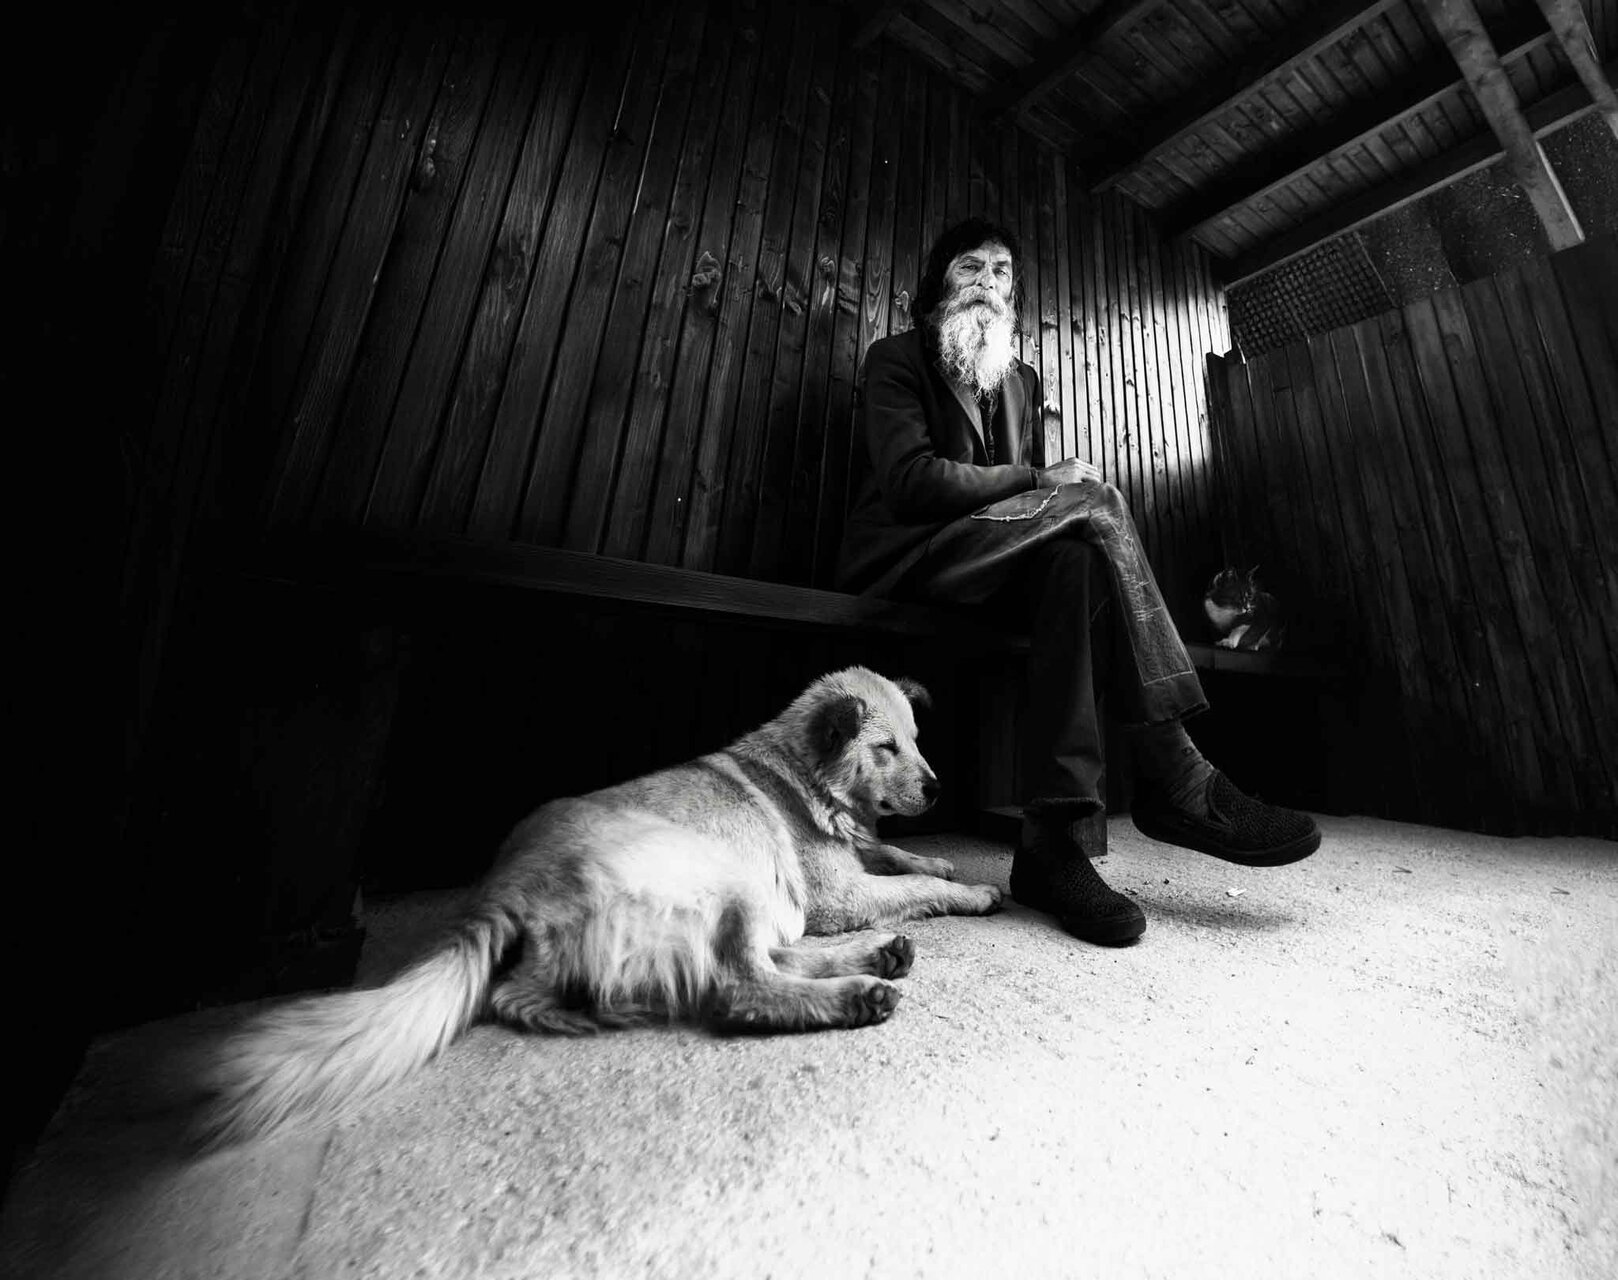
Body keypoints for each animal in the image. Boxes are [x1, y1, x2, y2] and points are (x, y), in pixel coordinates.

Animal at [202, 666, 1003, 1145]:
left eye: (917, 742)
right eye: (888, 748)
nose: (938, 789)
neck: (807, 771)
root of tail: (502, 894)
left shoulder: (854, 867)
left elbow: (901, 863)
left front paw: (942, 858)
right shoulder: (836, 895)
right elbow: (908, 889)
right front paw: (974, 889)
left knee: (754, 961)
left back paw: (879, 957)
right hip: (722, 874)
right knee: (740, 985)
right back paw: (859, 991)